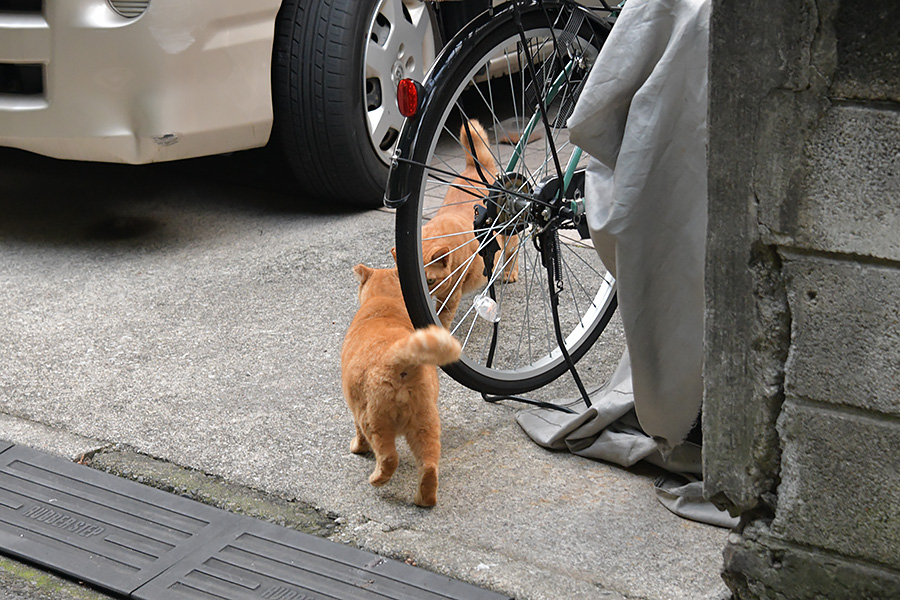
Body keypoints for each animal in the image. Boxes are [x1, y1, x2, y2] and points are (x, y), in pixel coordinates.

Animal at [342, 264, 460, 504]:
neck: (385, 302)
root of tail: (397, 358)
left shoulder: (355, 410)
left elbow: (359, 436)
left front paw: (357, 449)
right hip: (426, 421)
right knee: (429, 464)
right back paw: (424, 500)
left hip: (373, 419)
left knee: (389, 458)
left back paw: (377, 480)